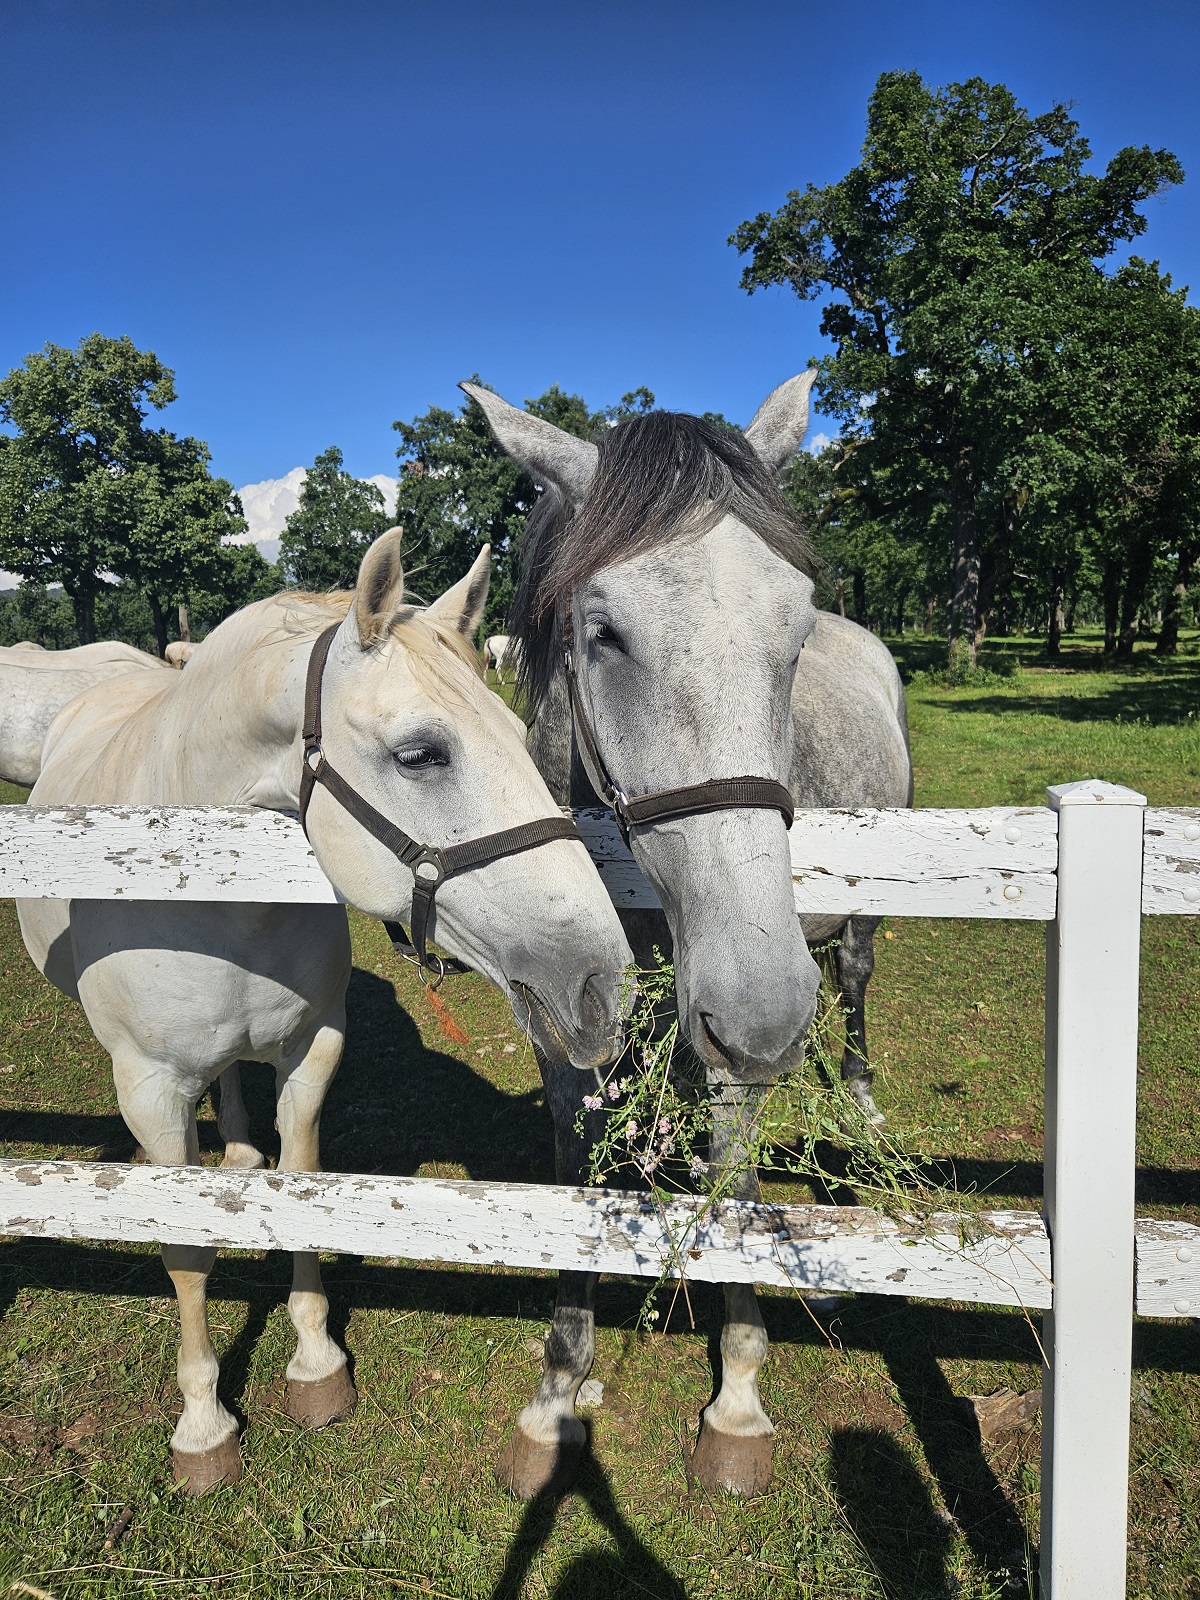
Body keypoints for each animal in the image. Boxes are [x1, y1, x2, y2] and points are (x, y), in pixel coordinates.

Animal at [465, 373, 912, 1498]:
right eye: (604, 635)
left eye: (792, 634)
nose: (765, 1009)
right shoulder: (568, 1028)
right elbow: (577, 1165)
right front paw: (558, 1386)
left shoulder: (735, 1033)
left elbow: (735, 1168)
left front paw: (741, 1392)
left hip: (862, 917)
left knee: (854, 986)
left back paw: (862, 1104)